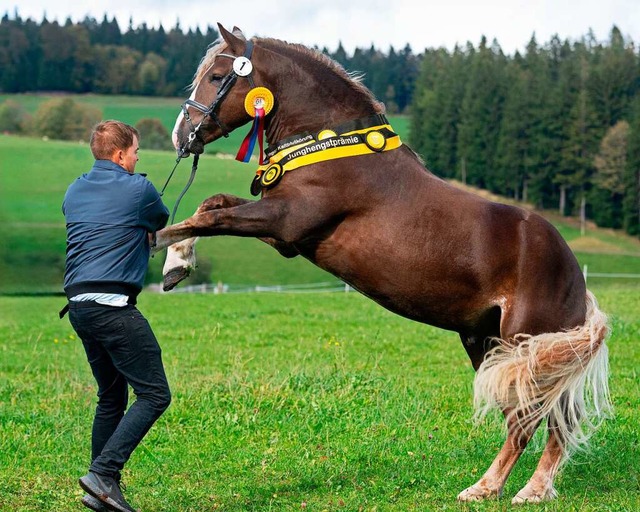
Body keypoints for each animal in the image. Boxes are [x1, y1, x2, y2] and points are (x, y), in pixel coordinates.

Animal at [155, 25, 608, 504]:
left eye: (216, 76)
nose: (181, 136)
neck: (330, 146)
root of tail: (576, 278)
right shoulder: (282, 233)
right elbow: (212, 204)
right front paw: (175, 265)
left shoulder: (287, 221)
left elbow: (208, 217)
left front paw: (156, 242)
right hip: (496, 346)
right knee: (554, 418)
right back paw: (534, 490)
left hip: (524, 344)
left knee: (527, 419)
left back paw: (487, 488)